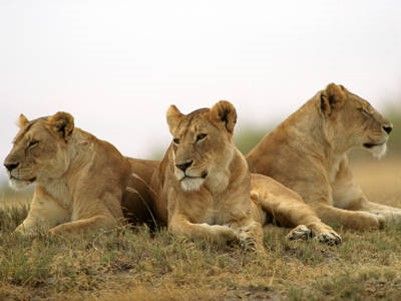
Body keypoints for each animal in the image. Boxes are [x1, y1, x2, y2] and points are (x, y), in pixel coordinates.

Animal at [4, 111, 158, 236]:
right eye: (14, 143)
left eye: (33, 143)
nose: (7, 165)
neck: (60, 181)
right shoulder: (35, 219)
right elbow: (13, 235)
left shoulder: (111, 219)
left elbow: (59, 230)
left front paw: (41, 238)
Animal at [150, 99, 340, 247]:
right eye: (176, 140)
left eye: (201, 136)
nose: (181, 165)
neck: (214, 185)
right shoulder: (176, 219)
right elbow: (197, 230)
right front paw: (227, 232)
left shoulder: (244, 217)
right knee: (276, 230)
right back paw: (298, 234)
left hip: (286, 204)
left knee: (314, 219)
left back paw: (327, 235)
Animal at [245, 83, 398, 229]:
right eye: (363, 111)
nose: (390, 128)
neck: (332, 158)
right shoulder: (312, 204)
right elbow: (357, 218)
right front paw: (378, 218)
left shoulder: (355, 201)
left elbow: (394, 212)